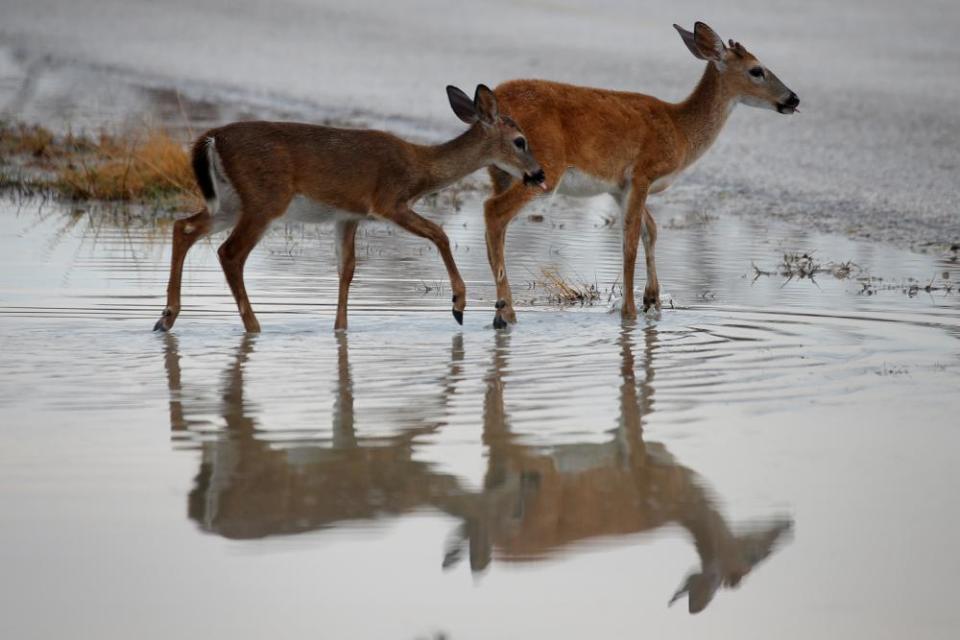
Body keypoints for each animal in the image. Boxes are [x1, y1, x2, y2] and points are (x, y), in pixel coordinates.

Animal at [157, 84, 548, 332]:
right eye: (520, 141)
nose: (539, 173)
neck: (419, 166)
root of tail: (211, 139)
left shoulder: (348, 215)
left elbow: (346, 269)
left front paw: (340, 329)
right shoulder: (388, 201)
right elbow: (439, 233)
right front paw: (458, 305)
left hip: (229, 202)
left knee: (183, 227)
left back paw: (166, 318)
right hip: (265, 200)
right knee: (229, 252)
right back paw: (253, 327)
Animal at [484, 21, 800, 328]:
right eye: (757, 70)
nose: (793, 98)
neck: (680, 131)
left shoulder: (619, 187)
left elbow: (651, 230)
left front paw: (652, 300)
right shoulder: (642, 174)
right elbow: (631, 242)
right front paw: (631, 313)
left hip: (499, 173)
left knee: (495, 226)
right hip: (543, 168)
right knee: (494, 211)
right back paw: (506, 314)